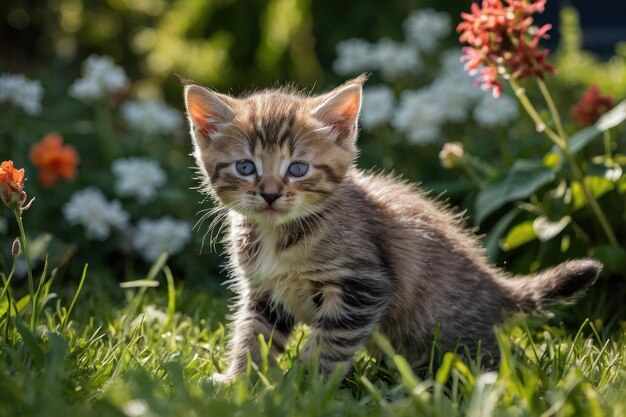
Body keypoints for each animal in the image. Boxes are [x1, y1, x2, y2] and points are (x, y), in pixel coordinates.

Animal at [182, 75, 600, 380]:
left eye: (297, 168)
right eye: (246, 167)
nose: (269, 194)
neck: (278, 235)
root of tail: (493, 283)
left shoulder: (363, 286)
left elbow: (328, 345)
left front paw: (303, 387)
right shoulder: (266, 293)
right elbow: (253, 336)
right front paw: (239, 384)